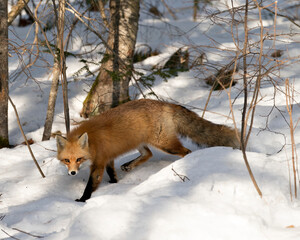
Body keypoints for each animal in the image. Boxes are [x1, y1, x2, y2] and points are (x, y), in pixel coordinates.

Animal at [55, 98, 239, 202]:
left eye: (79, 159)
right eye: (66, 160)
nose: (72, 173)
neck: (92, 143)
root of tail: (165, 103)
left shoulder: (99, 162)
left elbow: (91, 184)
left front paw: (82, 199)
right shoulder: (108, 158)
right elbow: (112, 174)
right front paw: (114, 185)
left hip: (165, 144)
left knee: (186, 152)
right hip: (140, 141)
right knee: (148, 154)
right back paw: (129, 165)